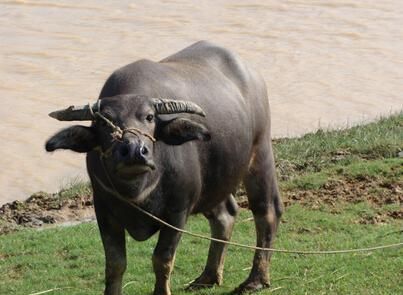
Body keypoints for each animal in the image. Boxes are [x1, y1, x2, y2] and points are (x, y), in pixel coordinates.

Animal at [45, 40, 282, 295]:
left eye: (149, 117)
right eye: (104, 122)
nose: (134, 151)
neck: (137, 189)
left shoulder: (178, 211)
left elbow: (162, 259)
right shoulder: (104, 210)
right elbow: (115, 263)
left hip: (260, 153)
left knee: (267, 212)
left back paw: (255, 279)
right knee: (225, 215)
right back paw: (208, 276)